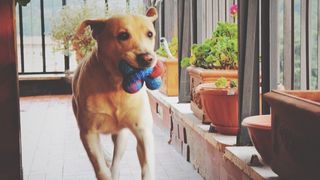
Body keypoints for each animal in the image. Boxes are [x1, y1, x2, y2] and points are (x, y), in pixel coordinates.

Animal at [72, 7, 158, 180]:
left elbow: (147, 166)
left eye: (150, 34)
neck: (116, 86)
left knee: (116, 161)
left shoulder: (143, 131)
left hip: (121, 137)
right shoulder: (88, 133)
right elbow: (101, 169)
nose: (147, 58)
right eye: (123, 35)